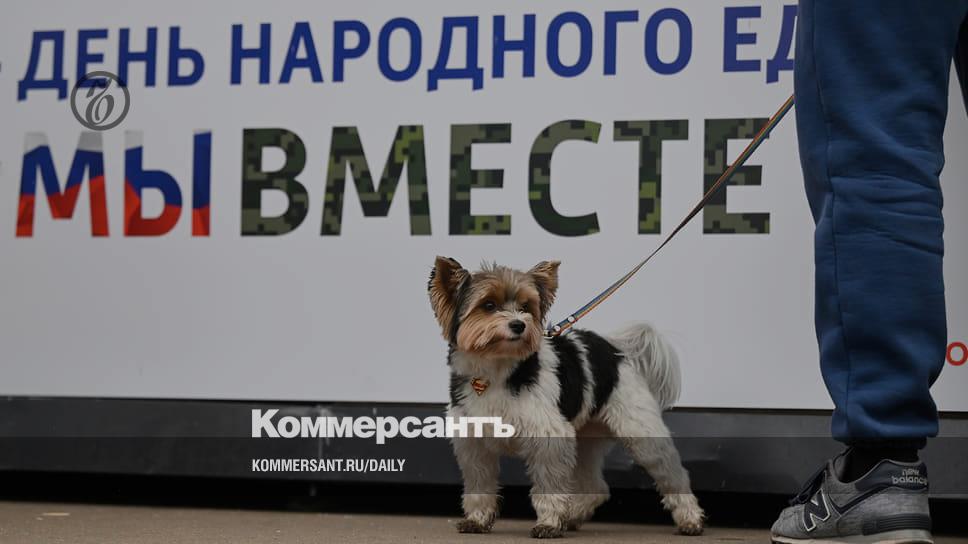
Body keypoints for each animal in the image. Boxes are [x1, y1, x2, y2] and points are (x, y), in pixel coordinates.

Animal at [427, 256, 705, 538]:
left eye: (526, 307)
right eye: (489, 305)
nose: (519, 324)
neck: (496, 371)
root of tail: (614, 350)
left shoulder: (549, 437)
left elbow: (549, 484)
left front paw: (549, 523)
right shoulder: (473, 444)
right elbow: (479, 484)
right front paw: (477, 520)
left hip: (641, 432)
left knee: (673, 474)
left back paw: (690, 519)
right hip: (585, 439)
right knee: (597, 487)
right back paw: (572, 516)